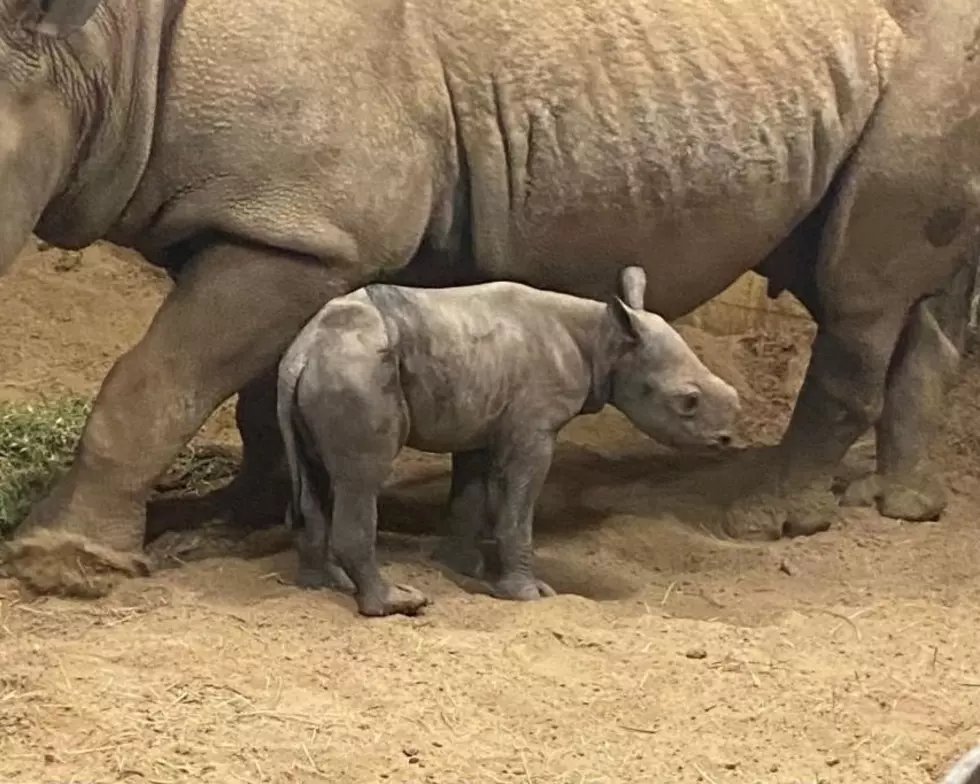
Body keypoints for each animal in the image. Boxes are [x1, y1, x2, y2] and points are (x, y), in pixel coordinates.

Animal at [278, 266, 739, 616]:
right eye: (688, 402)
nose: (727, 439)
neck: (605, 339)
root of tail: (304, 351)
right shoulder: (533, 427)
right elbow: (518, 506)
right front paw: (529, 594)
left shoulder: (479, 413)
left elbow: (469, 494)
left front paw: (463, 569)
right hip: (356, 373)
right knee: (363, 479)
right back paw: (398, 604)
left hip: (334, 369)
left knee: (317, 477)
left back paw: (324, 585)